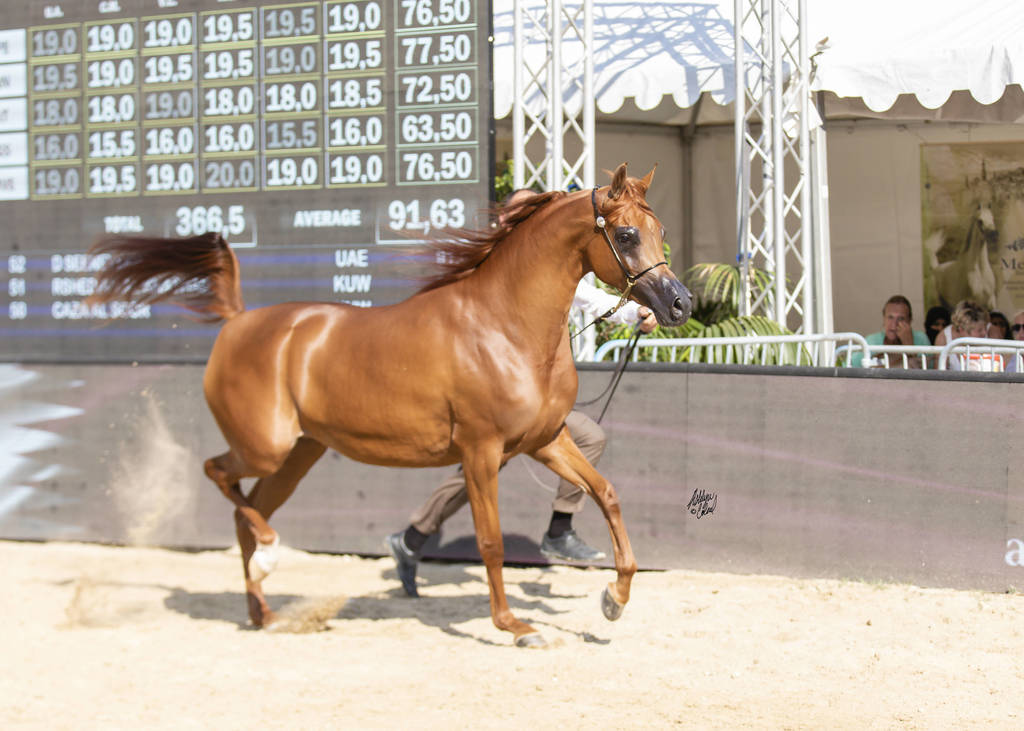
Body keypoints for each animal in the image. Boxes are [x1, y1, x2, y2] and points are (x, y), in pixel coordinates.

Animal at [86, 163, 692, 647]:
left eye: (661, 231)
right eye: (627, 233)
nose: (679, 305)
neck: (504, 324)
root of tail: (238, 321)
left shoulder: (543, 441)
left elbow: (607, 495)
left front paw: (613, 599)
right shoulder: (481, 451)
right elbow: (492, 542)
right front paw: (516, 628)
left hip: (299, 455)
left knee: (246, 510)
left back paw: (265, 612)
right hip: (265, 446)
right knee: (219, 476)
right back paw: (271, 558)